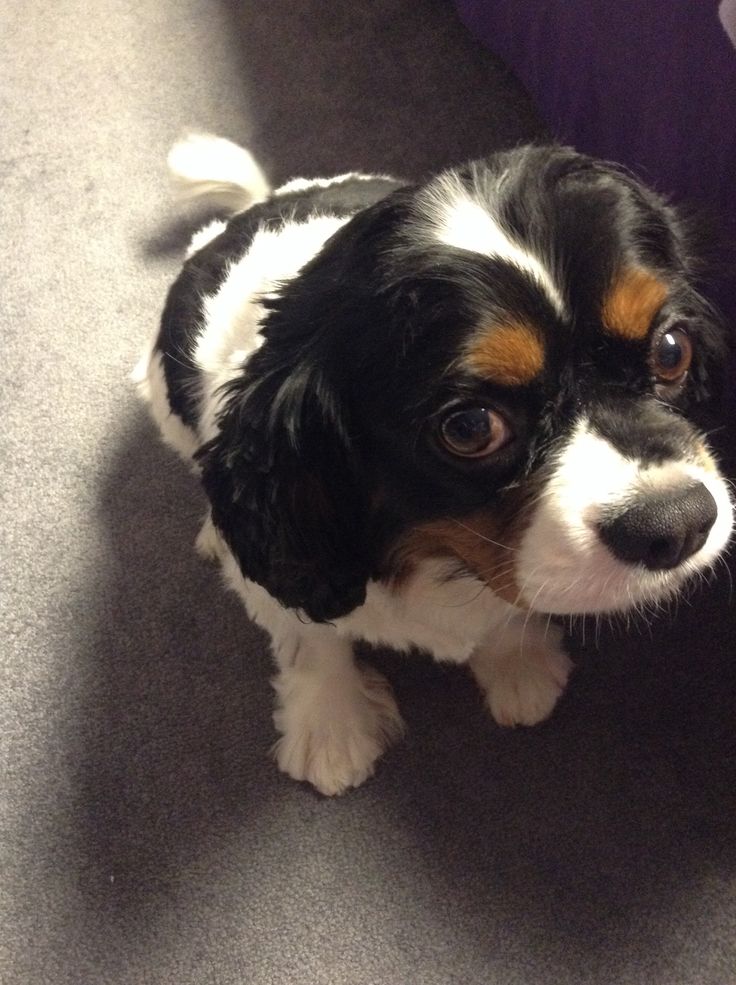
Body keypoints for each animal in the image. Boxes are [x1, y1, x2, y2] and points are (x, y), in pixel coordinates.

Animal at [137, 135, 732, 796]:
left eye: (672, 350)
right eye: (470, 427)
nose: (679, 524)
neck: (436, 552)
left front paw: (518, 667)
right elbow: (310, 641)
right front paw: (331, 728)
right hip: (161, 391)